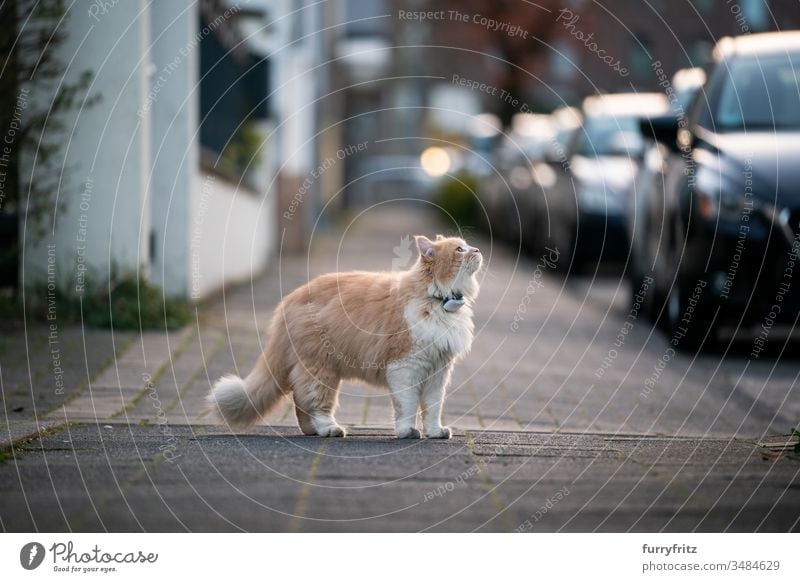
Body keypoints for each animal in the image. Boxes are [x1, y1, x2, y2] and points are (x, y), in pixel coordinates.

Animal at [206, 235, 482, 440]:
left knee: (300, 402)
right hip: (321, 371)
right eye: (460, 249)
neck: (437, 299)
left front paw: (435, 432)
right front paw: (407, 432)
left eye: (468, 245)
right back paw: (329, 429)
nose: (478, 249)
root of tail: (290, 300)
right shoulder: (406, 366)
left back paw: (312, 432)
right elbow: (407, 405)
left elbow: (433, 408)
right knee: (315, 404)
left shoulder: (438, 371)